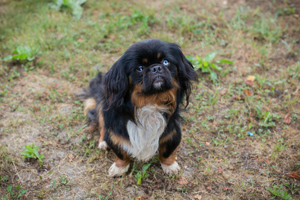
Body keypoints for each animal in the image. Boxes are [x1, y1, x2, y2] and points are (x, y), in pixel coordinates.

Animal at [79, 38, 197, 177]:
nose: (156, 68)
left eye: (165, 61)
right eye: (140, 68)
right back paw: (103, 141)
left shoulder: (173, 132)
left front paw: (170, 165)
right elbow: (120, 152)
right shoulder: (117, 131)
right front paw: (119, 168)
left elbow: (167, 151)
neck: (151, 101)